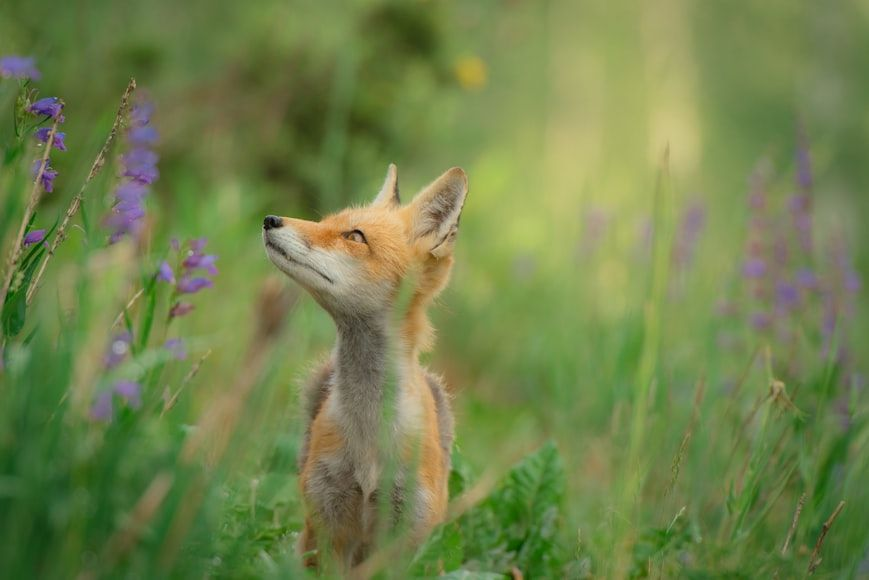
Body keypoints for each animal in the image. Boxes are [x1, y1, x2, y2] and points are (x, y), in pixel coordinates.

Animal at [261, 164, 468, 571]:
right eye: (324, 221)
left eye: (354, 236)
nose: (270, 219)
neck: (369, 438)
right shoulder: (328, 524)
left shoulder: (405, 535)